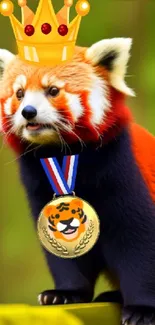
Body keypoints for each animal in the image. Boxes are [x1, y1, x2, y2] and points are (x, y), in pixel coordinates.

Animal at [0, 38, 155, 324]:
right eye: (19, 93)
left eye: (53, 90)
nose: (28, 112)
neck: (65, 154)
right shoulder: (39, 185)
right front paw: (64, 293)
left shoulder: (124, 173)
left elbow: (139, 243)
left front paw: (142, 309)